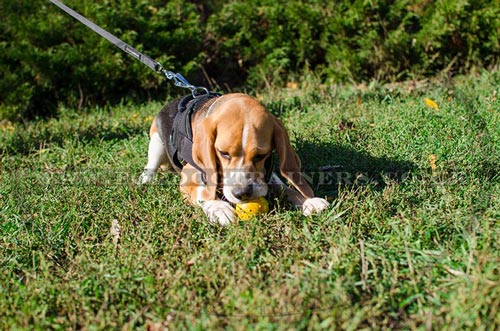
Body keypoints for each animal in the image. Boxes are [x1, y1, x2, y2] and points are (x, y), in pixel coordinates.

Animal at [139, 92, 330, 226]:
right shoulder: (187, 181)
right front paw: (219, 208)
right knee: (150, 167)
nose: (242, 193)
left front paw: (309, 201)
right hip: (156, 143)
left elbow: (287, 189)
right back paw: (145, 181)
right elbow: (203, 192)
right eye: (223, 153)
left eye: (261, 155)